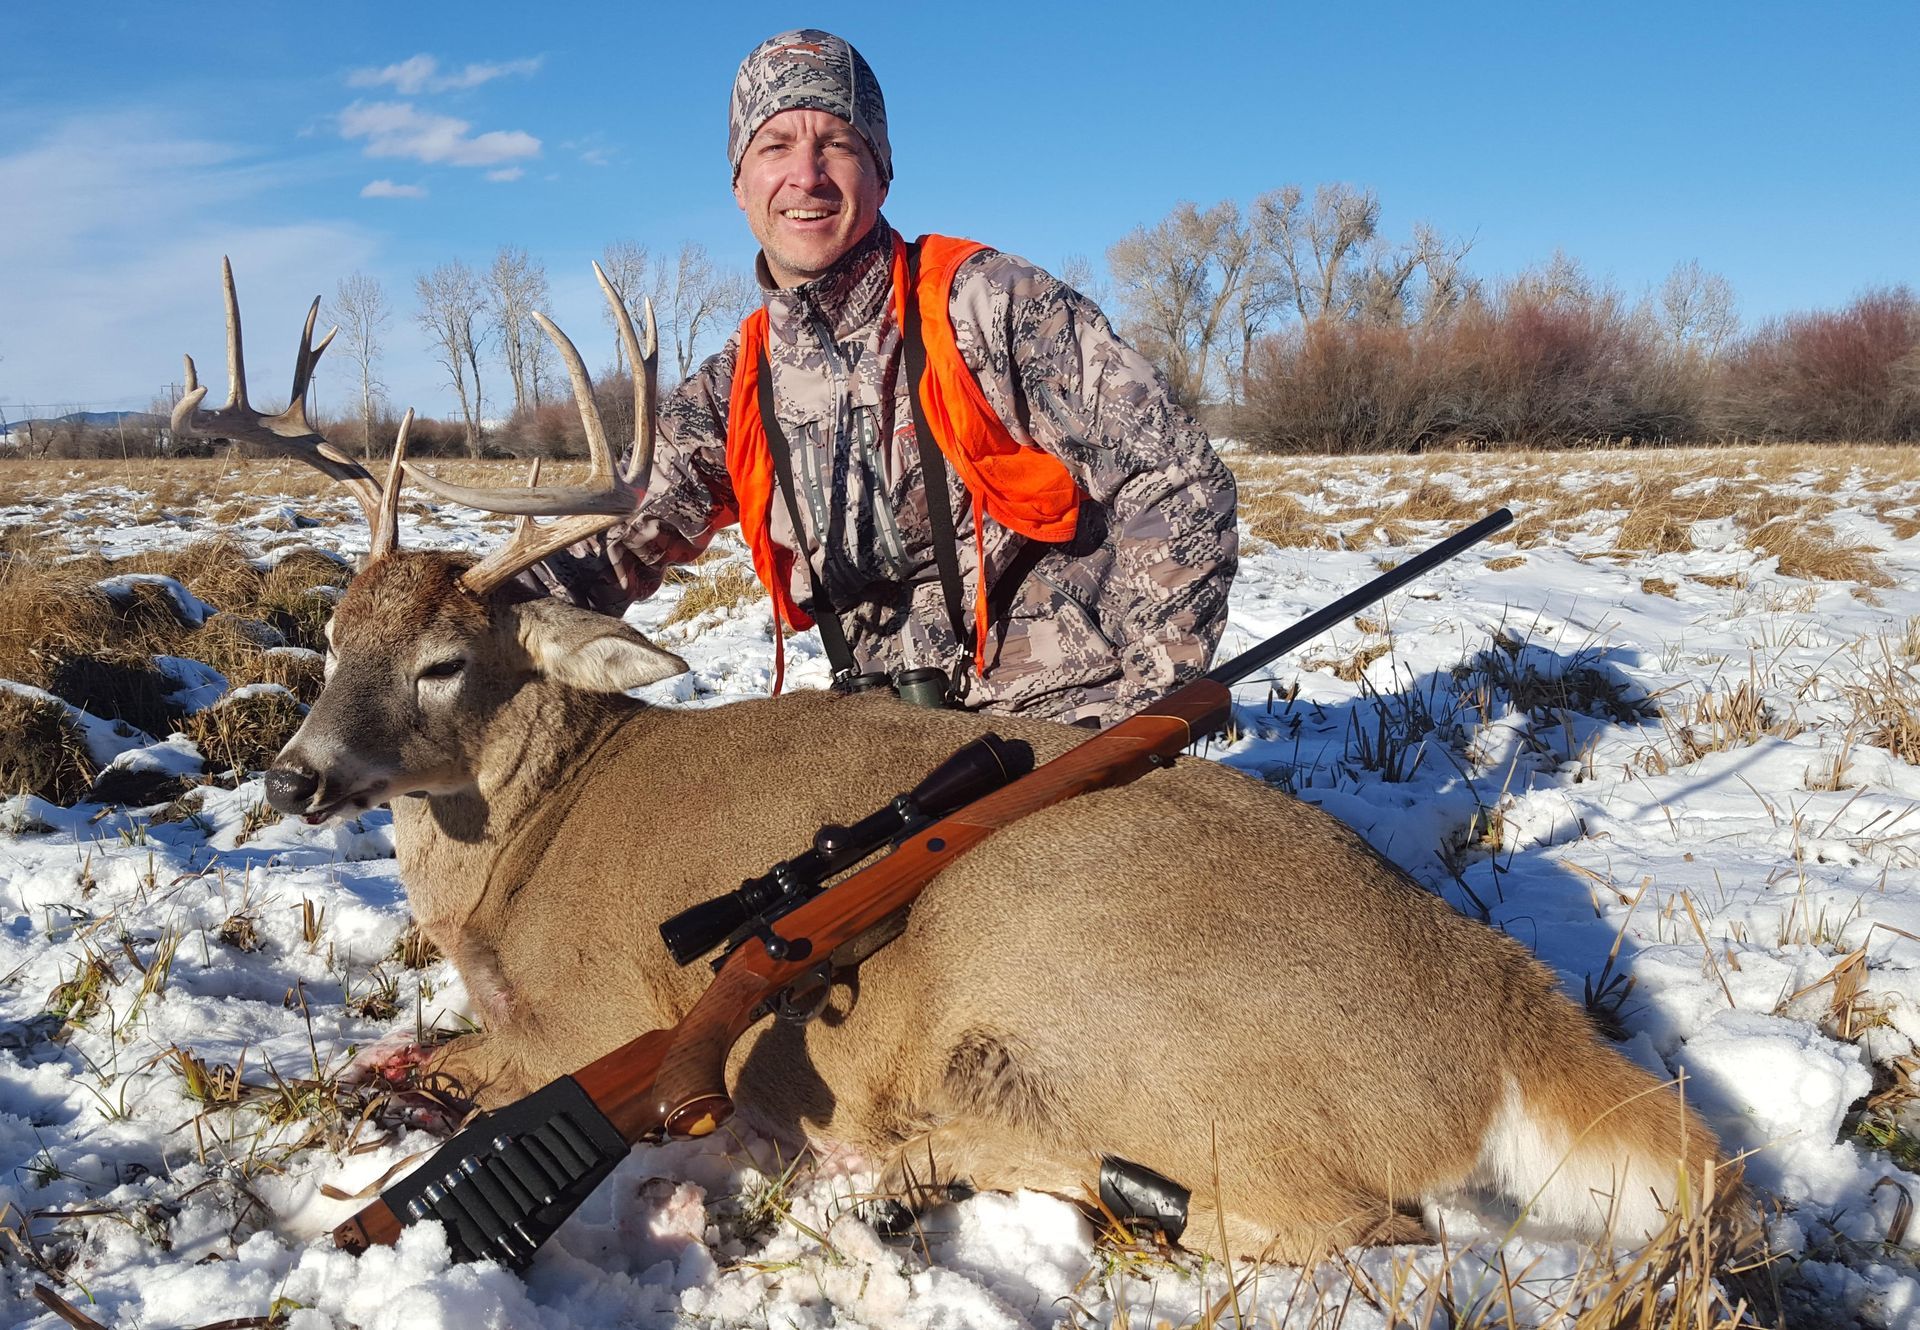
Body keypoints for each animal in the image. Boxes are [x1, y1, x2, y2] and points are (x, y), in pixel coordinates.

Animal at [172, 260, 1735, 1265]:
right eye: (330, 638)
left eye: (446, 661)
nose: (292, 777)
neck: (515, 856)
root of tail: (1502, 1005)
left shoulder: (587, 1015)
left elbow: (420, 1068)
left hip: (1089, 1000)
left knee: (1360, 1223)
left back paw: (902, 1176)